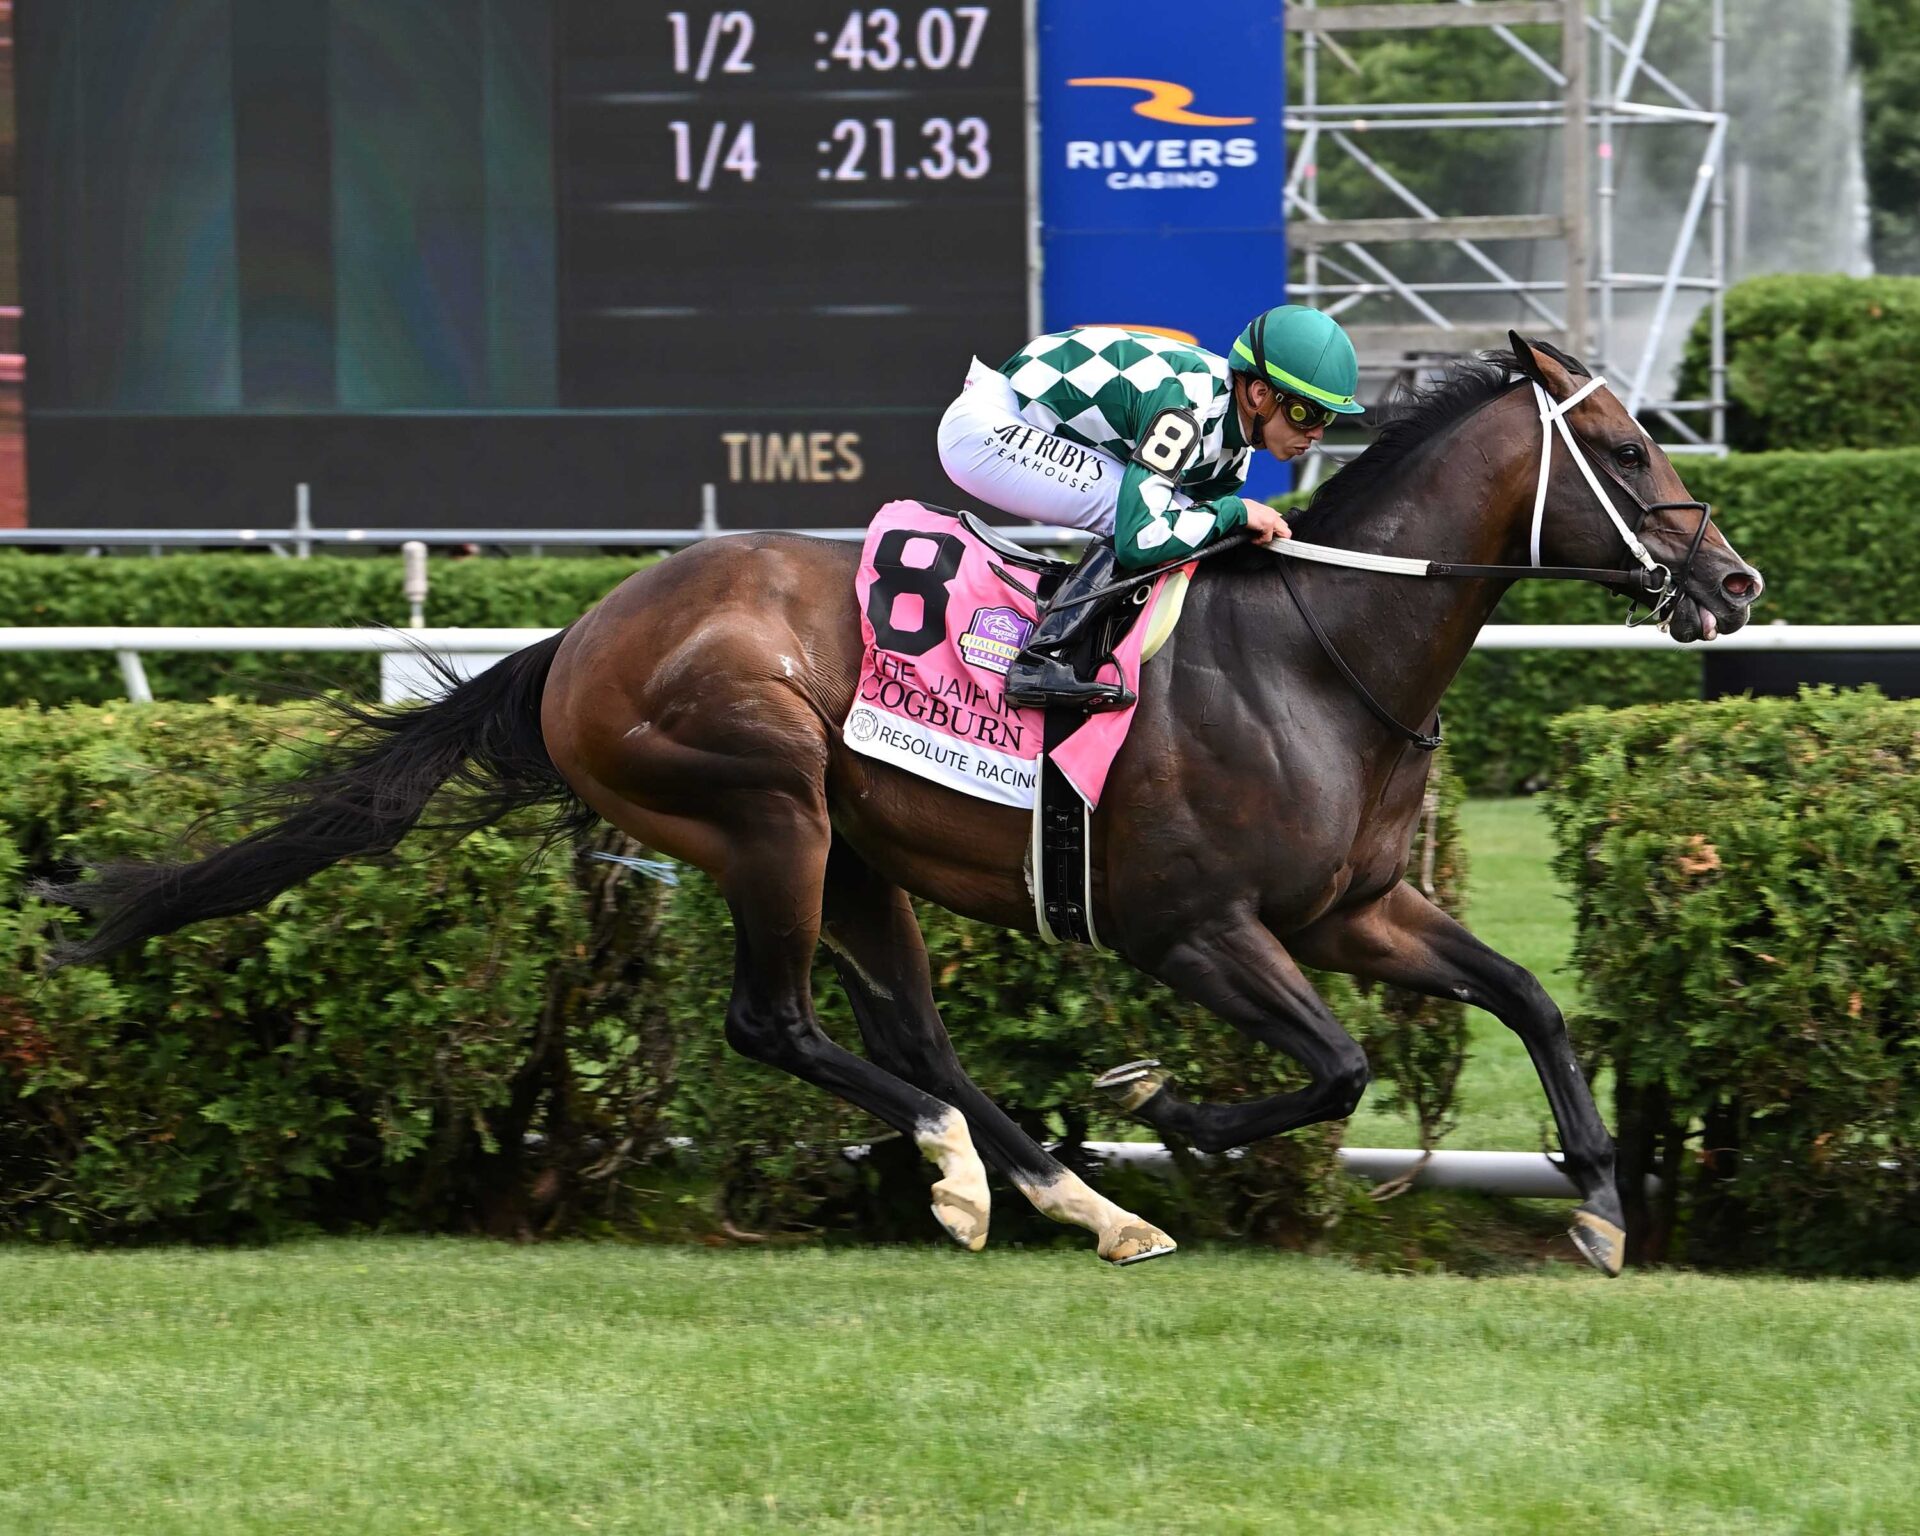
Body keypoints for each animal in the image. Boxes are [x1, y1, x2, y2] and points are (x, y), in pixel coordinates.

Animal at [39, 337, 1762, 1274]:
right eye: (1625, 451)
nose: (1734, 584)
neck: (1316, 652)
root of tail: (578, 636)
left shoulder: (1358, 909)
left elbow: (1529, 997)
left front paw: (1601, 1209)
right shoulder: (1196, 930)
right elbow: (1332, 1068)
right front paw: (1170, 1108)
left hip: (862, 853)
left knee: (911, 1034)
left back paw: (1068, 1198)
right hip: (765, 808)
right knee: (782, 1025)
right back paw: (971, 1165)